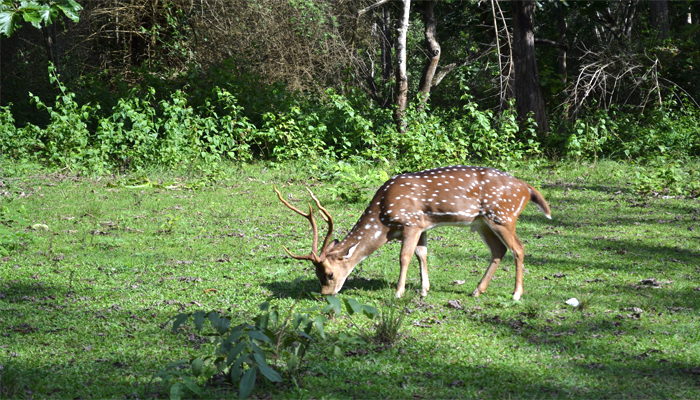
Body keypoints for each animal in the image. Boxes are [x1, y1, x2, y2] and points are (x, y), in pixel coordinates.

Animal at [274, 165, 552, 300]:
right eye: (317, 274)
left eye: (329, 274)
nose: (325, 295)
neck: (383, 219)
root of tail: (527, 188)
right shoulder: (424, 225)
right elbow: (422, 254)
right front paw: (424, 290)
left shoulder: (410, 222)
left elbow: (404, 257)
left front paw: (399, 292)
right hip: (483, 222)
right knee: (499, 250)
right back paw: (476, 291)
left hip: (503, 216)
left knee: (518, 248)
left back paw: (515, 294)